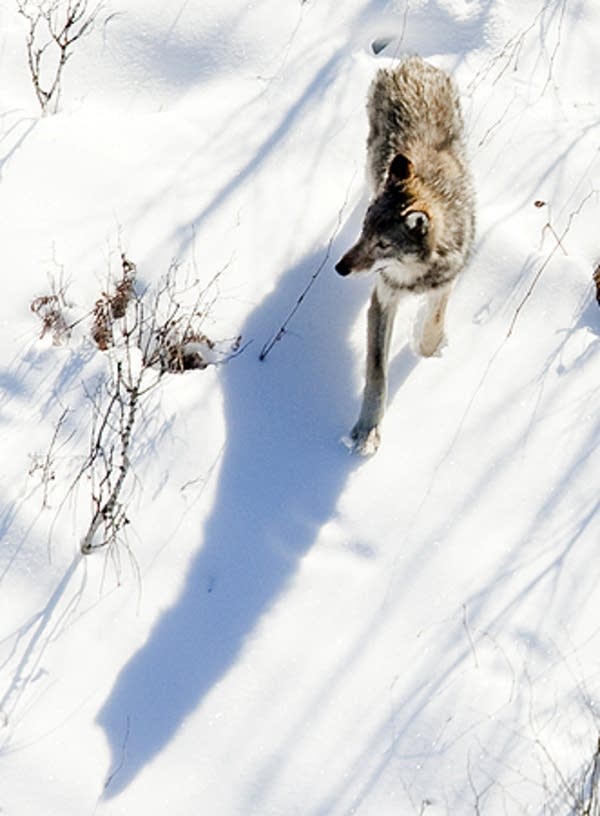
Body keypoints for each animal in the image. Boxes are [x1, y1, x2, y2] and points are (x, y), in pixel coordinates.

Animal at [336, 55, 476, 456]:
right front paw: (367, 431)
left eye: (382, 245)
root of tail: (413, 63)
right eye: (364, 233)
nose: (340, 268)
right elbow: (376, 374)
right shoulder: (382, 300)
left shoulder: (447, 280)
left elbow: (433, 325)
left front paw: (429, 345)